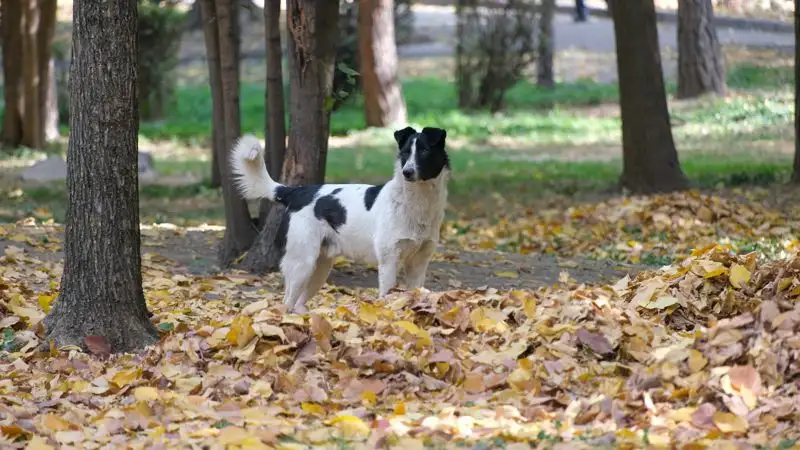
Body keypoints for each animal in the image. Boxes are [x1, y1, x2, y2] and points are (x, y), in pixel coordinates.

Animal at [230, 125, 450, 312]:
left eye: (424, 151)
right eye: (405, 153)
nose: (407, 172)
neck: (416, 203)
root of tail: (296, 192)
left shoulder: (419, 263)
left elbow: (415, 294)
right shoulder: (389, 261)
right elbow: (387, 296)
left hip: (320, 267)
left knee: (298, 303)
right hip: (302, 263)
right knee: (287, 303)